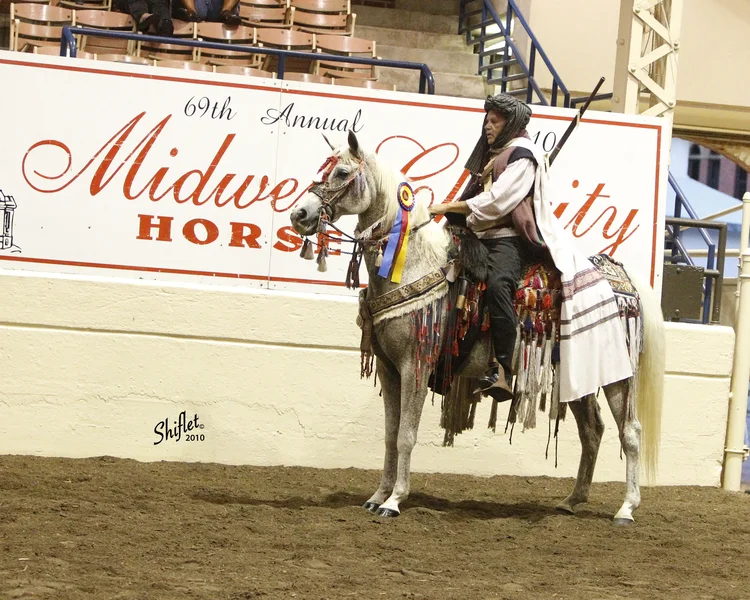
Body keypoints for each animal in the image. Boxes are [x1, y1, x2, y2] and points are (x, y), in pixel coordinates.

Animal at [290, 131, 666, 526]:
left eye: (342, 172)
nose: (300, 214)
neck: (414, 264)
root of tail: (621, 276)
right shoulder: (390, 369)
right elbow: (391, 435)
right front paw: (378, 496)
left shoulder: (415, 366)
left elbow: (407, 434)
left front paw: (394, 500)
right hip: (579, 376)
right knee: (592, 430)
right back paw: (571, 500)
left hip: (618, 377)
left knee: (630, 432)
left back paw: (626, 508)